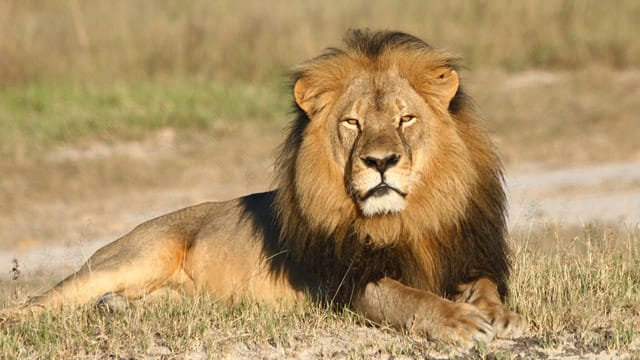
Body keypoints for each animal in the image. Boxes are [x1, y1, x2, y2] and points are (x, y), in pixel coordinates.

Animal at [3, 30, 524, 346]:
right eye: (352, 123)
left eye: (406, 118)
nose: (380, 162)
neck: (406, 219)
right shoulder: (347, 282)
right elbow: (407, 297)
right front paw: (459, 321)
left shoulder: (466, 254)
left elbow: (484, 285)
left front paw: (500, 315)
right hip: (132, 257)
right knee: (39, 302)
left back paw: (116, 311)